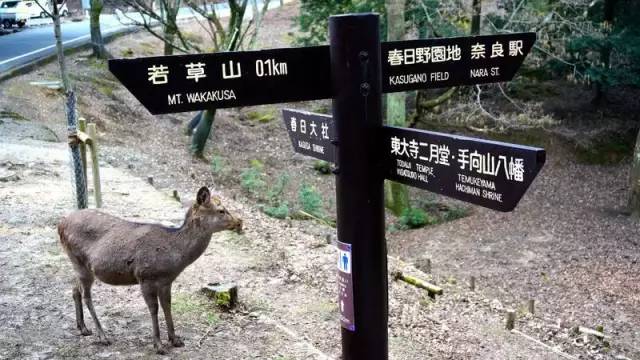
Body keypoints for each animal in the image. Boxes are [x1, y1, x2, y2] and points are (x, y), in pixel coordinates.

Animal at [57, 187, 242, 356]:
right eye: (221, 210)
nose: (239, 222)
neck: (175, 256)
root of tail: (60, 224)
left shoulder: (167, 281)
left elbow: (167, 305)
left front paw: (175, 340)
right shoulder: (145, 276)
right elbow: (154, 309)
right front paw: (158, 345)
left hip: (78, 264)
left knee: (75, 289)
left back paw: (83, 328)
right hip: (80, 262)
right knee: (86, 296)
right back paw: (103, 336)